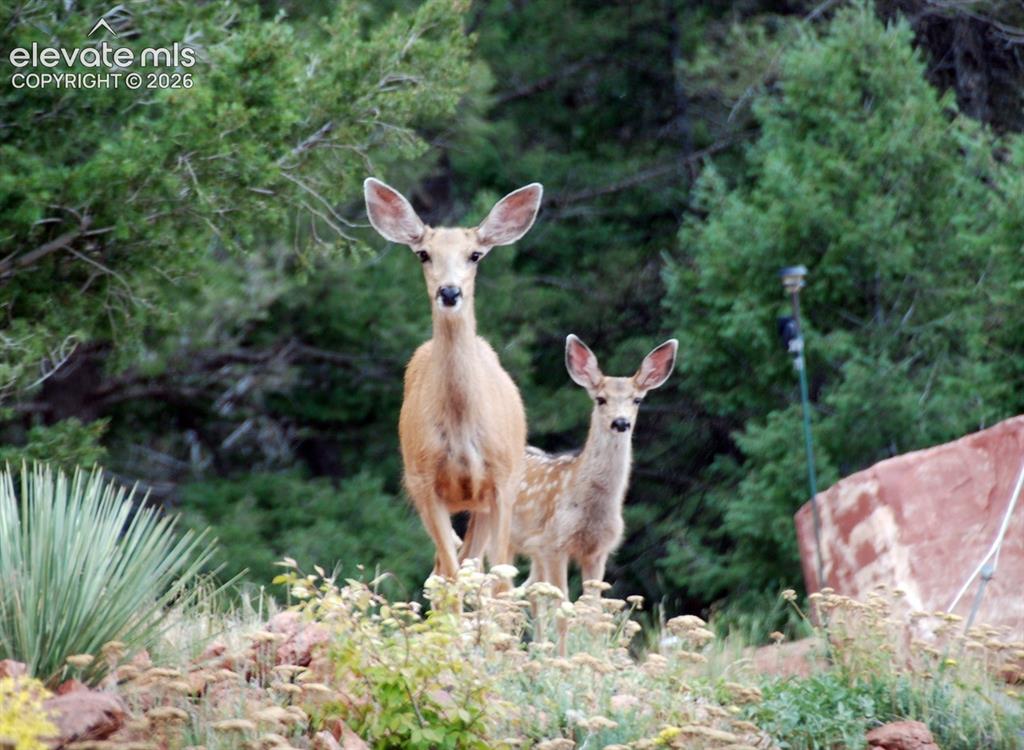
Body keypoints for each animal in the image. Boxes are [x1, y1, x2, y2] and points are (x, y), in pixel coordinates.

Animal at [363, 177, 543, 584]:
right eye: (423, 254)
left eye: (475, 254)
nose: (448, 291)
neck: (461, 427)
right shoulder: (423, 482)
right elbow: (453, 574)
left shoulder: (504, 479)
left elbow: (498, 579)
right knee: (445, 568)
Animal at [511, 334, 678, 597]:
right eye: (601, 399)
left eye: (637, 400)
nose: (621, 422)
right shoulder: (552, 542)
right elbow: (563, 602)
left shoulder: (598, 551)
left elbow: (591, 603)